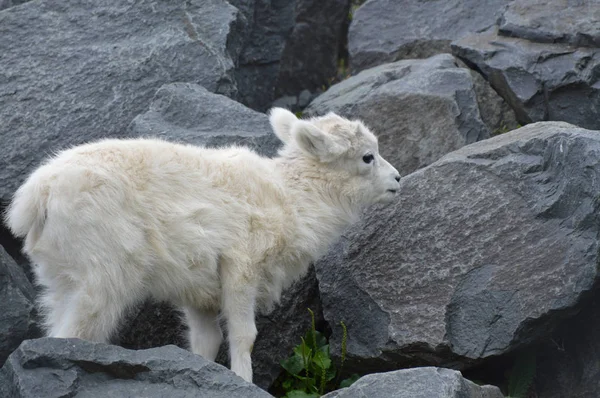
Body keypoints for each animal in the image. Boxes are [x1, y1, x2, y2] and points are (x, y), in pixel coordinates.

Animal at [4, 107, 400, 380]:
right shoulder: (241, 267)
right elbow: (244, 335)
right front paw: (243, 380)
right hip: (102, 275)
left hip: (61, 276)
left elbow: (205, 341)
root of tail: (37, 196)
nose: (397, 180)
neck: (294, 196)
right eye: (367, 157)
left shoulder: (200, 291)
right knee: (72, 334)